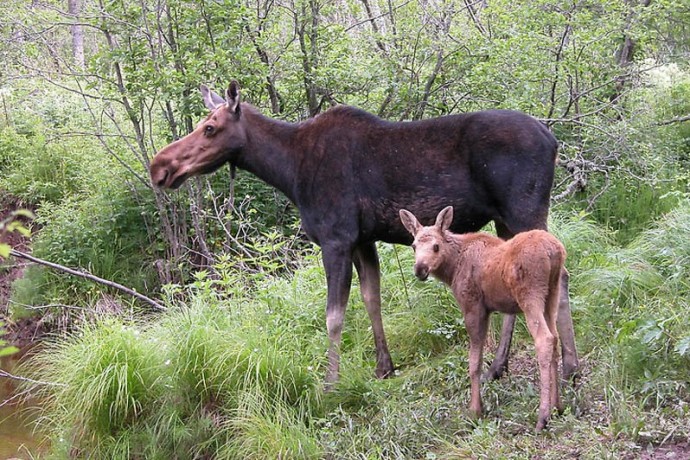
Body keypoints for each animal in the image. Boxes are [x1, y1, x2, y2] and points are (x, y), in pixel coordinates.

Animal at [149, 82, 576, 384]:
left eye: (209, 128)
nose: (159, 167)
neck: (288, 171)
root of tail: (554, 141)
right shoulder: (363, 238)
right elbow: (372, 298)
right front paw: (383, 366)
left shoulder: (335, 238)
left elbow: (334, 316)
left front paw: (330, 384)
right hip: (506, 219)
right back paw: (498, 366)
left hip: (524, 209)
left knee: (561, 274)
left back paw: (569, 366)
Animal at [398, 207, 564, 430]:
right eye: (414, 245)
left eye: (436, 246)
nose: (420, 269)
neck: (452, 269)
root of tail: (553, 251)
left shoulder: (473, 306)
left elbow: (474, 362)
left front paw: (475, 410)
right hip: (552, 292)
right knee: (555, 338)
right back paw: (557, 407)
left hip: (530, 295)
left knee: (544, 339)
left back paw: (543, 416)